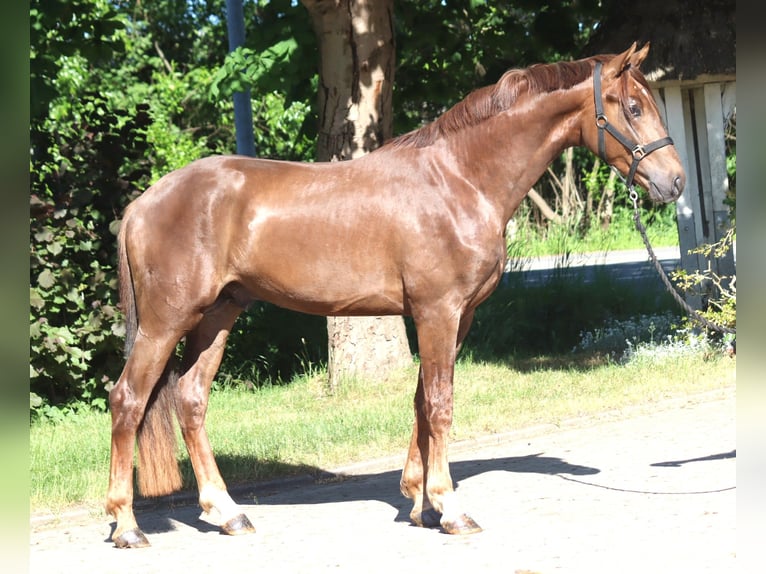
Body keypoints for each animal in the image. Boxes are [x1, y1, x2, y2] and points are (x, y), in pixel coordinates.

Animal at [106, 42, 684, 547]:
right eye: (634, 106)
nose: (674, 183)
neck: (459, 179)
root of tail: (142, 204)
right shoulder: (437, 312)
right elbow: (441, 404)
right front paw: (450, 509)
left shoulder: (458, 317)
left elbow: (422, 402)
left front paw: (419, 502)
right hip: (166, 323)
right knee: (127, 400)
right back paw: (127, 525)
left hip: (217, 317)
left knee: (191, 399)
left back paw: (228, 513)